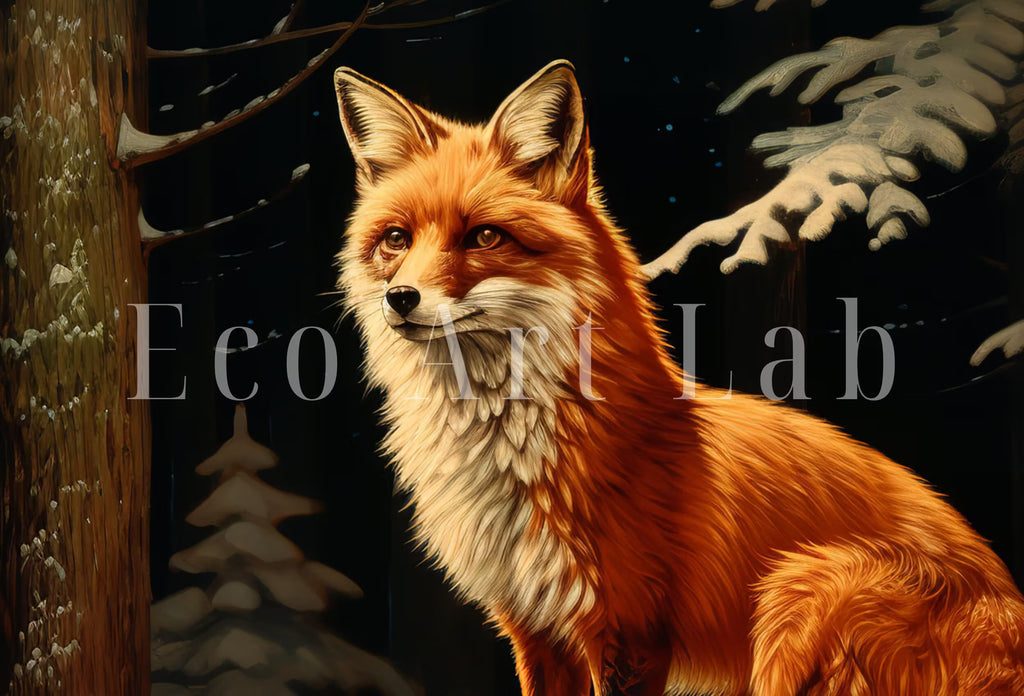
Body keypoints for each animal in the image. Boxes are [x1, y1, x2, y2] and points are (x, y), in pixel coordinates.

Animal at [332, 60, 1024, 695]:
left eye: (483, 236)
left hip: (800, 593)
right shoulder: (536, 627)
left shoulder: (629, 628)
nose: (401, 298)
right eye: (396, 238)